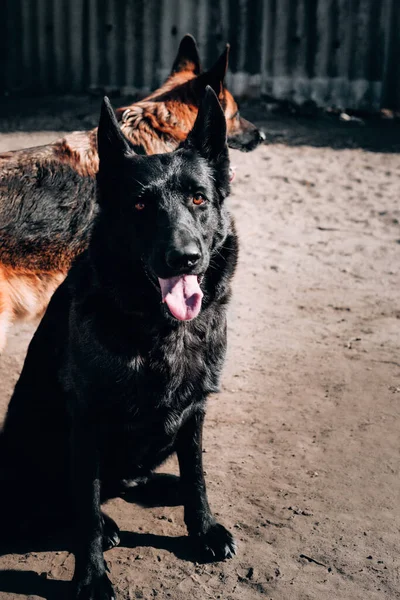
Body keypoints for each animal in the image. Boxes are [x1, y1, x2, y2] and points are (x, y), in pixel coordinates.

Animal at [0, 89, 238, 600]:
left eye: (198, 198)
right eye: (140, 206)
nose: (185, 258)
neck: (159, 329)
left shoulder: (195, 409)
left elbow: (197, 476)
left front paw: (203, 529)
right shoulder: (87, 420)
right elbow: (86, 510)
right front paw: (91, 576)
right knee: (54, 502)